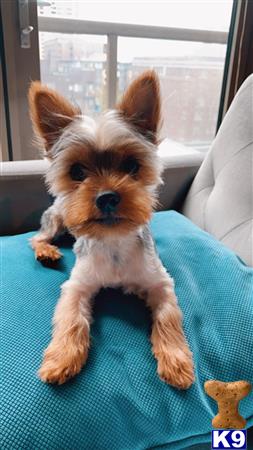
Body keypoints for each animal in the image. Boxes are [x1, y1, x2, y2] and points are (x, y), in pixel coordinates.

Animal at [28, 69, 194, 386]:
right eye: (77, 171)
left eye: (131, 166)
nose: (106, 197)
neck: (114, 239)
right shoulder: (78, 285)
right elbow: (71, 318)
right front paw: (61, 358)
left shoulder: (160, 282)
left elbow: (168, 317)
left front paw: (176, 361)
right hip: (57, 218)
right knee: (37, 237)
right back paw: (47, 251)